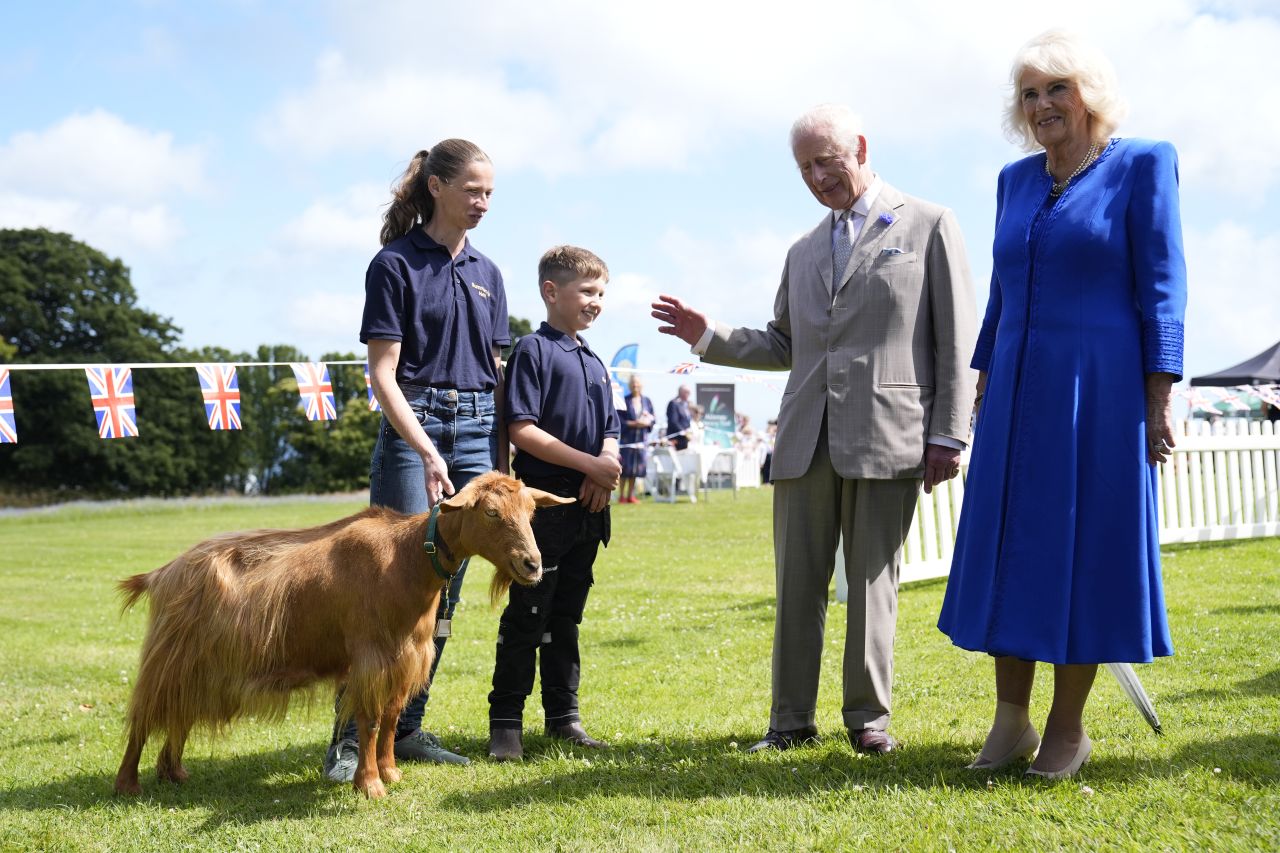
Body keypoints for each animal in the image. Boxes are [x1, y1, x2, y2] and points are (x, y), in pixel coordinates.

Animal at [115, 471, 576, 799]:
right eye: (491, 513)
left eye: (531, 512)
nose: (532, 564)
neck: (407, 559)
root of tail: (162, 573)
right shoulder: (371, 658)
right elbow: (368, 721)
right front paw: (369, 784)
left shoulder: (406, 658)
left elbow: (391, 716)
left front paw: (391, 772)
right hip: (169, 656)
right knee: (145, 714)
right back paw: (128, 784)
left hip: (200, 664)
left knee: (180, 711)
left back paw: (174, 772)